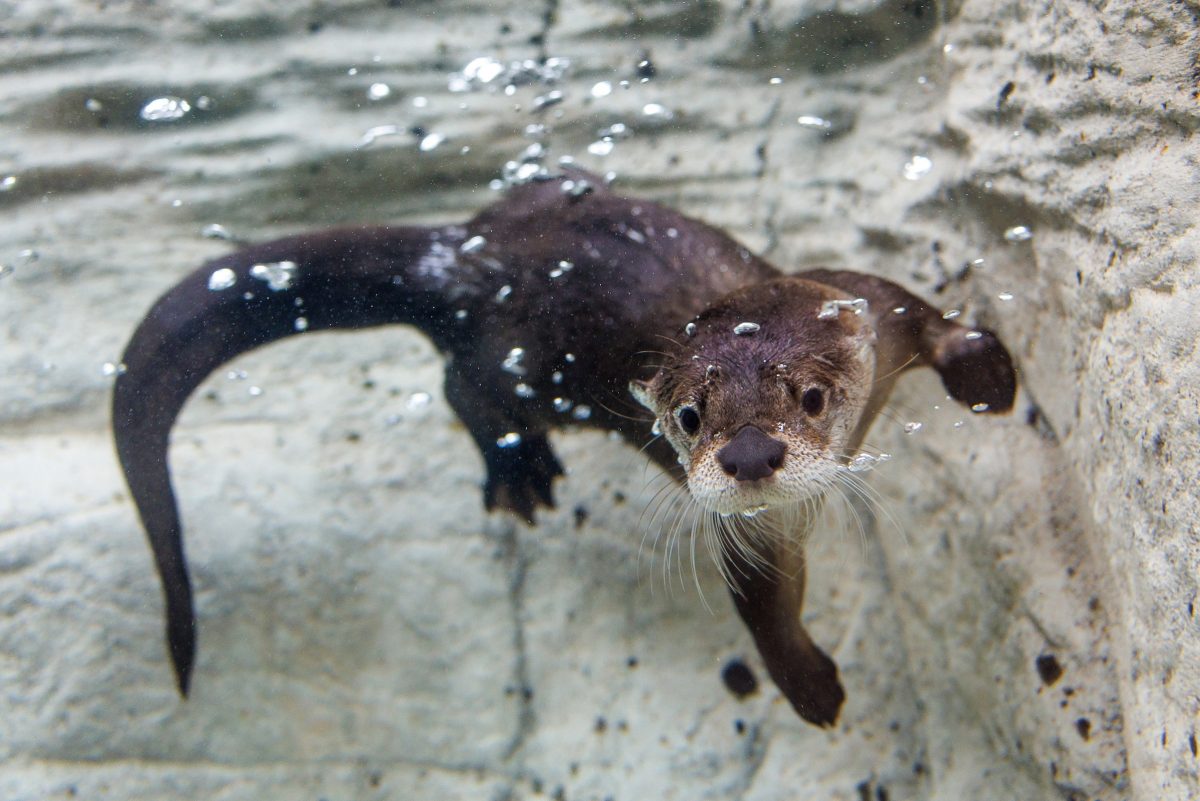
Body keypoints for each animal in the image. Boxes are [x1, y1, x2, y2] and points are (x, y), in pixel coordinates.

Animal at [112, 172, 1017, 729]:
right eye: (689, 416)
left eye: (812, 397)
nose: (751, 455)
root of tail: (464, 256)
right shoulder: (751, 529)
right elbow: (765, 602)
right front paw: (807, 681)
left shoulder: (863, 301)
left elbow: (921, 312)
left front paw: (987, 371)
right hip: (509, 363)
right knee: (460, 388)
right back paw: (519, 470)